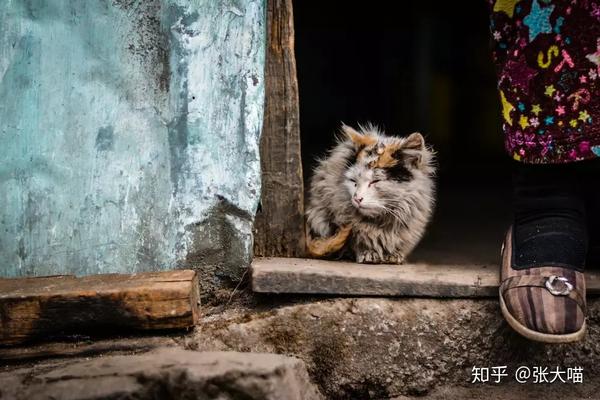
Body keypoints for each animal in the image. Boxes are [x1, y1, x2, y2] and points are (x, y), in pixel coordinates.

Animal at [304, 123, 436, 264]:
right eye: (353, 181)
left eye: (375, 181)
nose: (357, 198)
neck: (380, 221)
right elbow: (355, 241)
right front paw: (369, 253)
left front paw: (394, 255)